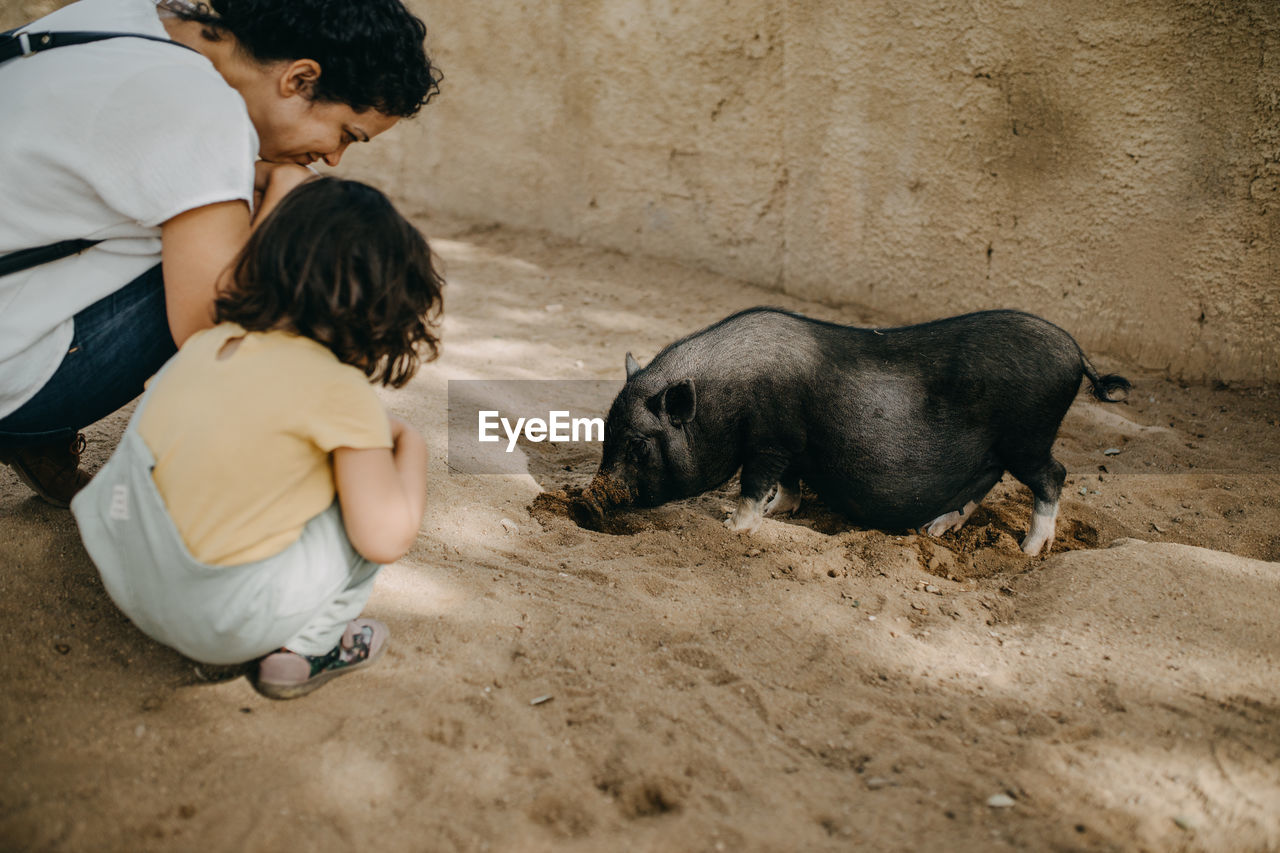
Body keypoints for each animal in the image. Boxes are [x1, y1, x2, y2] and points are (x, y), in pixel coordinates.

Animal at [581, 308, 1131, 555]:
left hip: (1029, 435)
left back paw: (1028, 550)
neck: (724, 399)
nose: (585, 503)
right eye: (606, 431)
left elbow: (754, 483)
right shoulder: (796, 448)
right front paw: (779, 512)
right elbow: (791, 484)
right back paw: (934, 531)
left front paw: (732, 527)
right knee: (985, 481)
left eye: (638, 444)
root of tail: (1074, 350)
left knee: (1054, 475)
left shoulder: (772, 440)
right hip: (1002, 448)